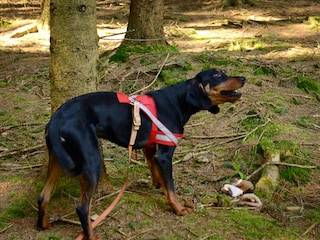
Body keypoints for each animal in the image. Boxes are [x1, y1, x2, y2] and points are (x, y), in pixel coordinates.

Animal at [38, 68, 245, 239]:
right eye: (217, 75)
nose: (243, 78)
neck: (178, 101)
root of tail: (56, 118)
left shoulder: (150, 149)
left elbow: (159, 176)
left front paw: (158, 186)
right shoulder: (165, 154)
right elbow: (171, 187)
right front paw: (178, 209)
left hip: (56, 160)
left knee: (43, 195)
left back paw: (43, 225)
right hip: (91, 161)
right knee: (82, 208)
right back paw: (92, 236)